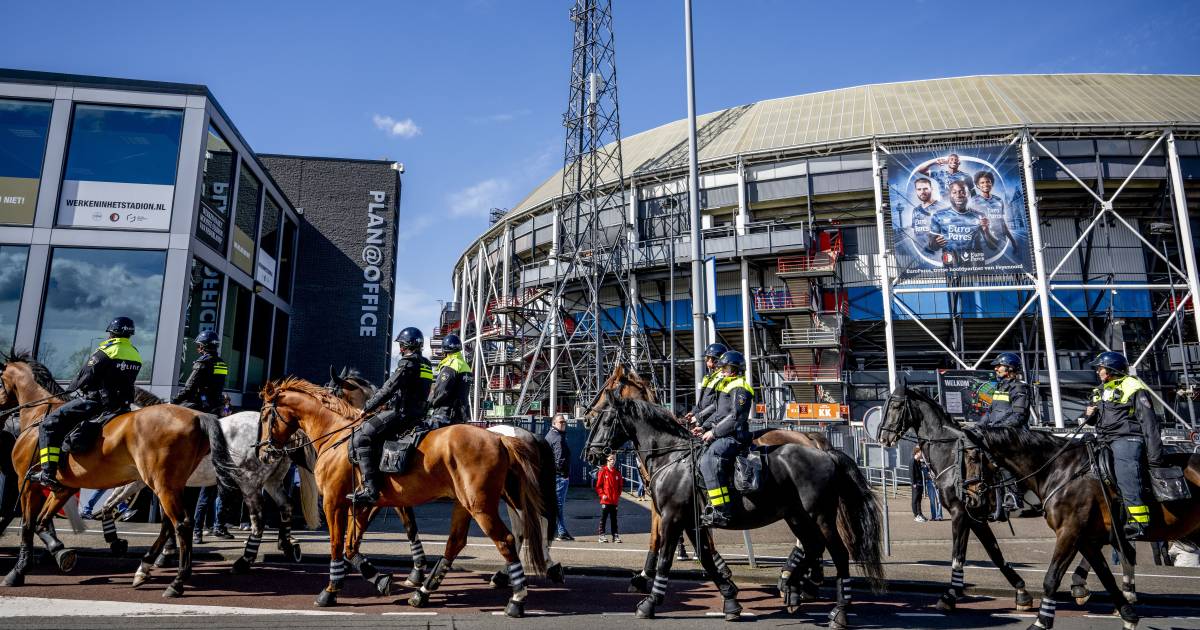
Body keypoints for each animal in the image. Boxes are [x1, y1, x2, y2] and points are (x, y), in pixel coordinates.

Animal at [1, 350, 234, 597]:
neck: (38, 415)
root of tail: (198, 417)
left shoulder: (27, 483)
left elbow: (27, 525)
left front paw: (18, 571)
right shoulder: (64, 487)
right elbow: (42, 522)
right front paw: (60, 551)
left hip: (164, 485)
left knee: (181, 524)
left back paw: (176, 581)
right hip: (170, 485)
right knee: (171, 524)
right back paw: (147, 568)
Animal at [260, 376, 549, 614]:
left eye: (264, 417)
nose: (263, 452)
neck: (338, 437)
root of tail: (501, 437)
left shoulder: (335, 503)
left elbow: (337, 544)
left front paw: (331, 590)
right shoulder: (367, 503)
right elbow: (353, 544)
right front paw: (380, 578)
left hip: (482, 505)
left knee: (509, 538)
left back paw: (516, 598)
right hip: (467, 503)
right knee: (458, 542)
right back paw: (423, 593)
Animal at [585, 393, 888, 624]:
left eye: (605, 420)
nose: (591, 453)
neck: (672, 457)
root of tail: (825, 452)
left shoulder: (672, 517)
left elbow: (665, 558)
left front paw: (649, 602)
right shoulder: (692, 521)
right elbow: (706, 558)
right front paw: (731, 600)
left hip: (821, 515)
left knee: (837, 553)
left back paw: (838, 611)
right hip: (797, 516)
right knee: (812, 546)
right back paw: (792, 587)